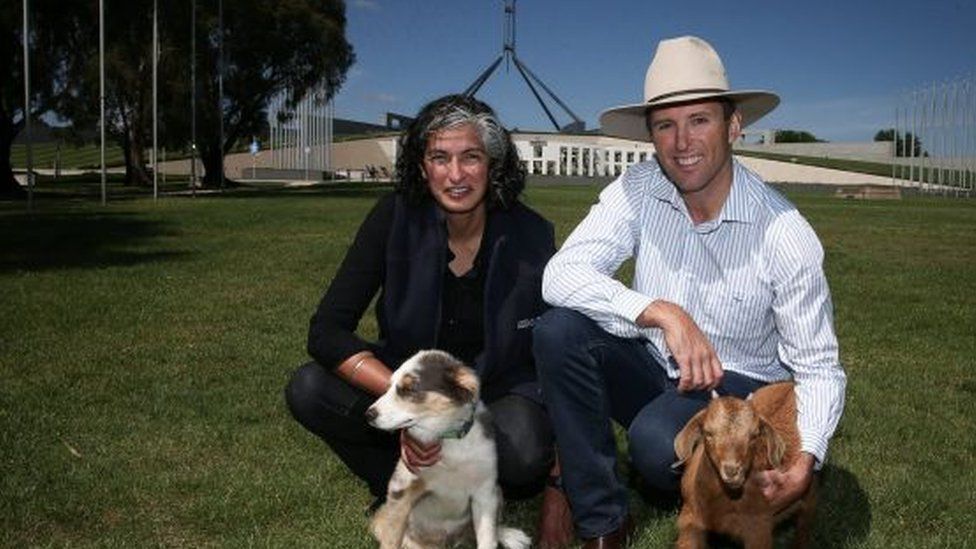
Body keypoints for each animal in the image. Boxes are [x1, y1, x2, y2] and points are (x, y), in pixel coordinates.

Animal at [366, 352, 528, 548]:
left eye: (409, 389)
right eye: (389, 387)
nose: (368, 414)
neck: (447, 438)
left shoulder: (485, 491)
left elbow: (488, 538)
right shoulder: (401, 489)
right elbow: (391, 538)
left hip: (497, 492)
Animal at [672, 382, 816, 548]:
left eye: (754, 435)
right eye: (708, 433)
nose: (732, 471)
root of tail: (791, 383)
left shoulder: (759, 529)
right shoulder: (690, 520)